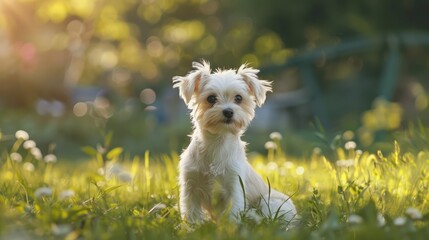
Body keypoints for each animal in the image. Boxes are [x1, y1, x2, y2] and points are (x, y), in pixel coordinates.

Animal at [172, 60, 296, 225]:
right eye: (211, 98)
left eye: (238, 98)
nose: (228, 111)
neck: (217, 143)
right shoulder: (191, 187)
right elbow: (192, 214)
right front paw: (192, 228)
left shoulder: (235, 187)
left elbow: (232, 214)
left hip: (269, 203)